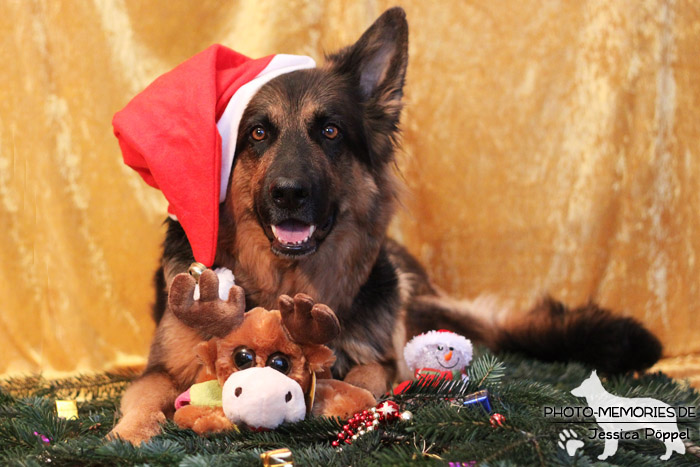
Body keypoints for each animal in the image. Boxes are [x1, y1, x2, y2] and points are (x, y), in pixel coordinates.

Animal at [109, 8, 660, 446]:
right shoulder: (161, 367)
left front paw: (340, 393)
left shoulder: (380, 354)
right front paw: (131, 434)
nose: (289, 193)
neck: (283, 280)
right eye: (258, 133)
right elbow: (145, 393)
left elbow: (371, 373)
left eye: (330, 131)